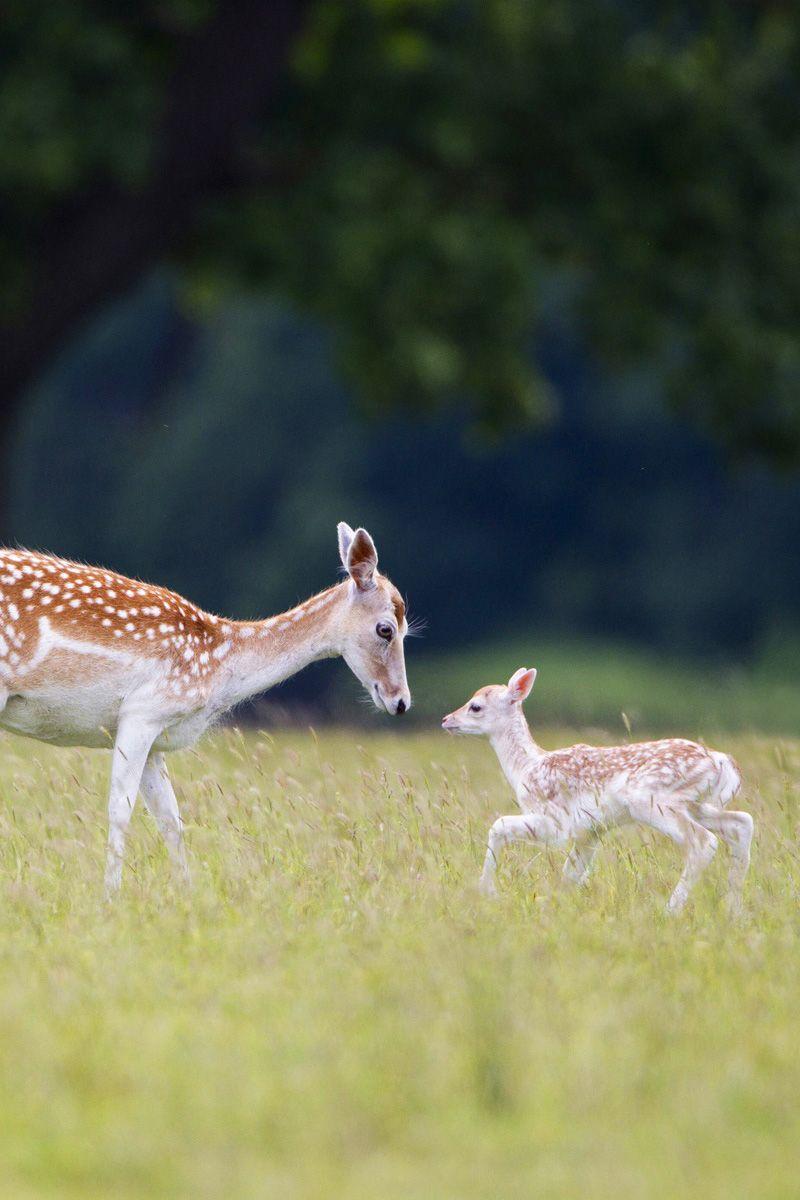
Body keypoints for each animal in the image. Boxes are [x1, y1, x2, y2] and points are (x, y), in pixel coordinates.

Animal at [0, 523, 410, 895]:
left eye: (408, 630)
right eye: (385, 629)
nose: (401, 701)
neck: (218, 666)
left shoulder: (157, 736)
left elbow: (171, 819)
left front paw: (187, 897)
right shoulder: (142, 712)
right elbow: (120, 809)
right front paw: (110, 899)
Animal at [442, 668, 753, 915]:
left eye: (475, 706)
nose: (446, 720)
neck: (526, 767)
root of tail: (719, 761)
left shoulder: (555, 822)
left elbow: (498, 825)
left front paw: (486, 892)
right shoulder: (589, 832)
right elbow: (571, 873)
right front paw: (555, 906)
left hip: (651, 800)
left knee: (703, 842)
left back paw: (671, 910)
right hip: (693, 803)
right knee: (741, 823)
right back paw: (735, 910)